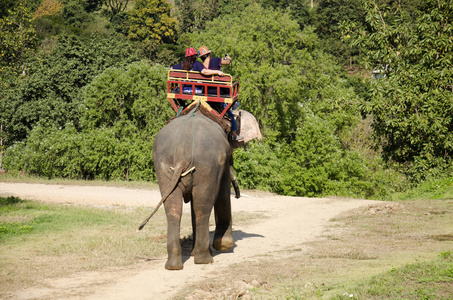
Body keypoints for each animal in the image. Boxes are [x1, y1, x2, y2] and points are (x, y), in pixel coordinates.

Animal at [139, 106, 235, 270]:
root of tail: (182, 151)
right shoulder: (222, 161)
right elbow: (223, 192)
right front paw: (224, 245)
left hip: (163, 165)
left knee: (173, 208)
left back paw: (173, 265)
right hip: (206, 167)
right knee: (202, 207)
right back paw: (204, 260)